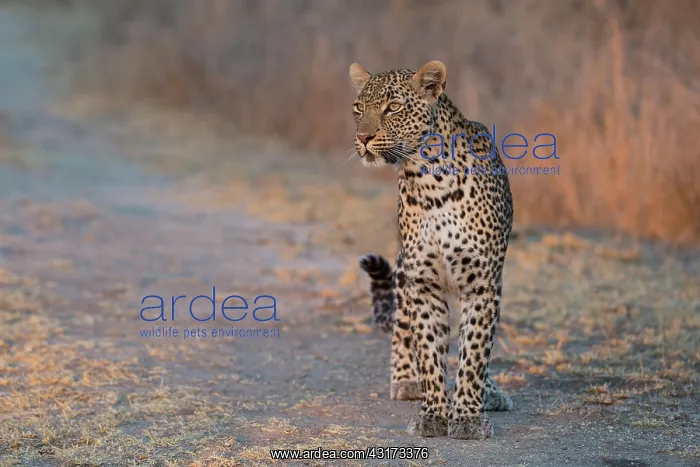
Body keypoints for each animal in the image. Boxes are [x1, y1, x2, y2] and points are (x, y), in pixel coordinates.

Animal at [350, 61, 514, 440]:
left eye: (393, 107)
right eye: (358, 108)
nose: (363, 138)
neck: (428, 181)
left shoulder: (483, 285)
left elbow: (474, 353)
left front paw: (467, 417)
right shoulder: (422, 283)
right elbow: (428, 349)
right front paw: (433, 413)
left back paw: (491, 392)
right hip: (403, 274)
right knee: (402, 330)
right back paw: (405, 380)